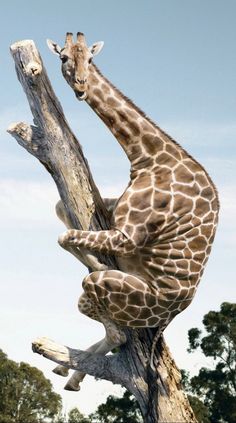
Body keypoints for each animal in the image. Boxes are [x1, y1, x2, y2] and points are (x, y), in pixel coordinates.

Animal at [46, 32, 219, 390]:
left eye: (90, 59)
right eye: (64, 57)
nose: (81, 86)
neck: (149, 156)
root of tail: (170, 316)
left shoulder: (127, 236)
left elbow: (65, 236)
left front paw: (96, 259)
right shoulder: (112, 214)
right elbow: (61, 214)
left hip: (108, 290)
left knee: (116, 332)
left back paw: (73, 372)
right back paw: (68, 373)